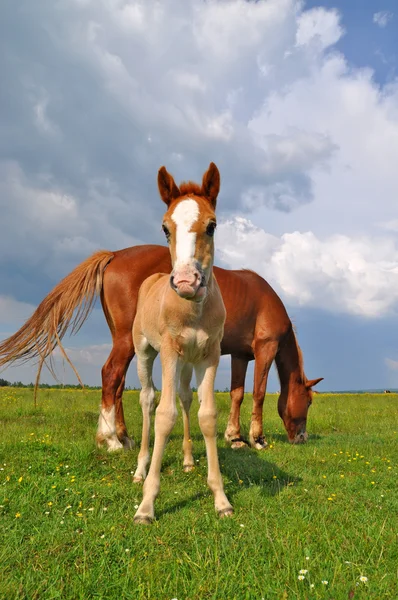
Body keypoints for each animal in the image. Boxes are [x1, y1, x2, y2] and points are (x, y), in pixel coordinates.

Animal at [131, 162, 232, 524]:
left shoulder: (210, 355)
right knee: (148, 400)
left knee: (187, 399)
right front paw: (146, 506)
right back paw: (140, 469)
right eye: (165, 228)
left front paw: (221, 498)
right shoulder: (169, 352)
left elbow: (207, 415)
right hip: (145, 353)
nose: (187, 281)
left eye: (212, 226)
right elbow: (164, 415)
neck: (193, 311)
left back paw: (188, 460)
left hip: (188, 363)